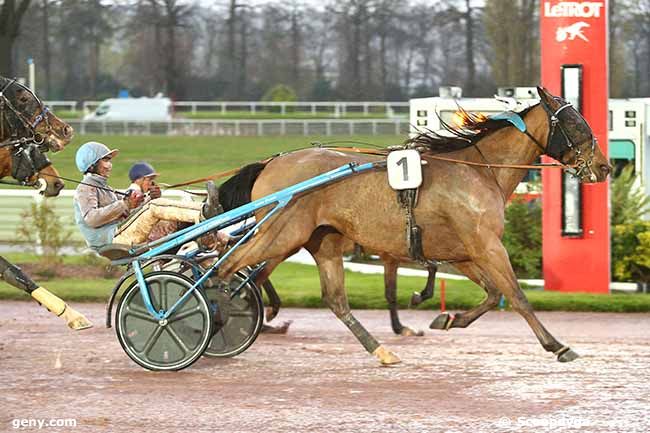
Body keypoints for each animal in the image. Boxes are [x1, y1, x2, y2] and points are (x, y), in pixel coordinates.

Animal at [215, 88, 612, 364]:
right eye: (576, 122)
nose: (605, 167)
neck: (479, 171)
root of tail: (269, 164)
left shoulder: (464, 252)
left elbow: (491, 294)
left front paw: (448, 319)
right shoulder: (486, 245)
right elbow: (516, 296)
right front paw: (557, 345)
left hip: (321, 240)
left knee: (335, 300)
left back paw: (381, 351)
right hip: (282, 233)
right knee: (227, 267)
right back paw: (219, 314)